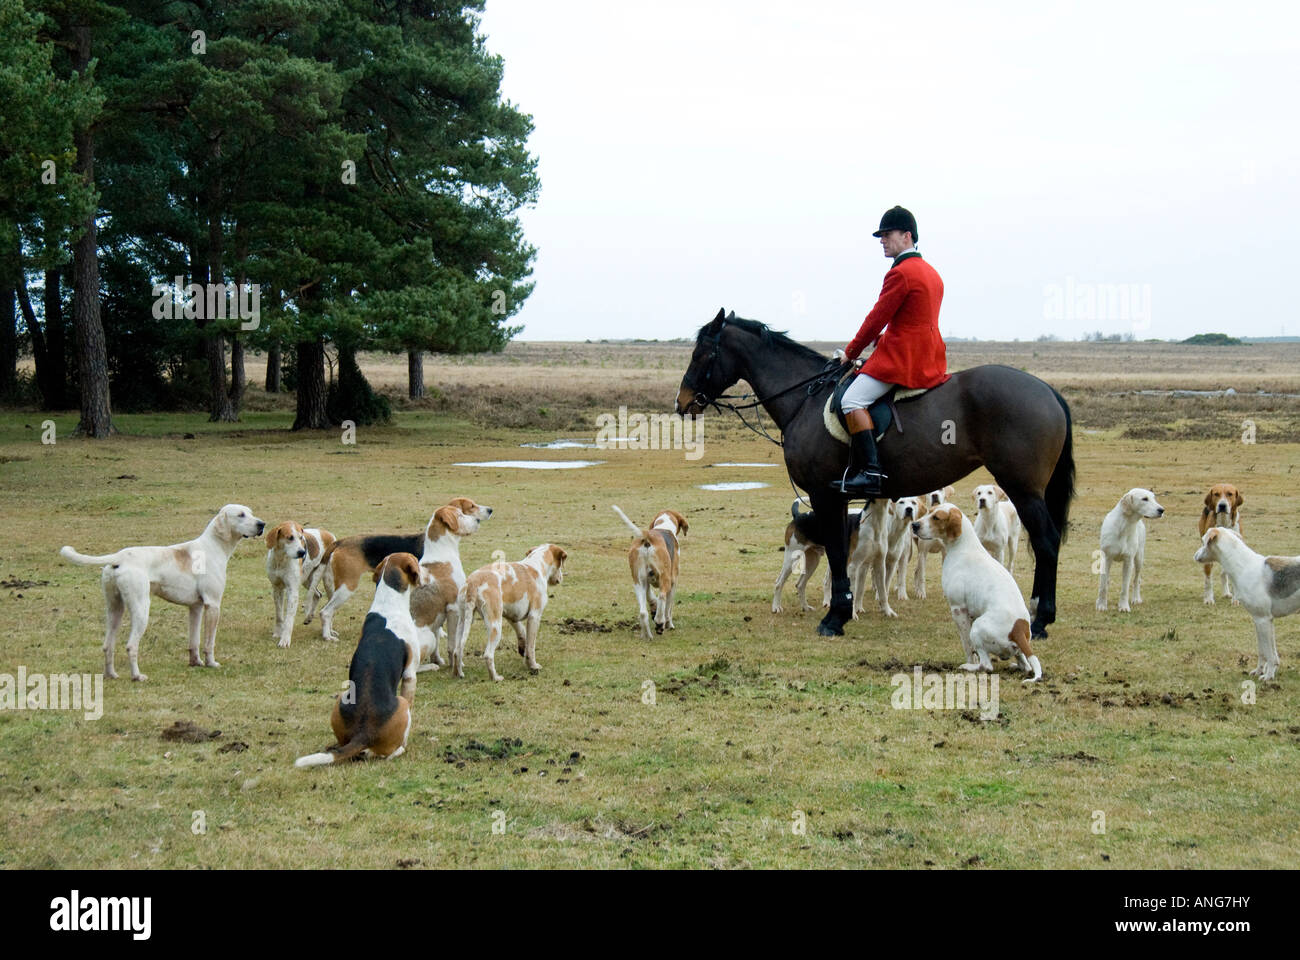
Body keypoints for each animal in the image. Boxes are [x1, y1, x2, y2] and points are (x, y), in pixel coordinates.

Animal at [676, 308, 1071, 634]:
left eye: (701, 354)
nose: (682, 403)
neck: (805, 398)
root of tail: (1047, 390)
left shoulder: (824, 494)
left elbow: (838, 554)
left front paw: (835, 617)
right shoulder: (836, 499)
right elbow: (841, 557)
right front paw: (842, 610)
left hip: (1022, 489)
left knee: (1046, 540)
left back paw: (1041, 619)